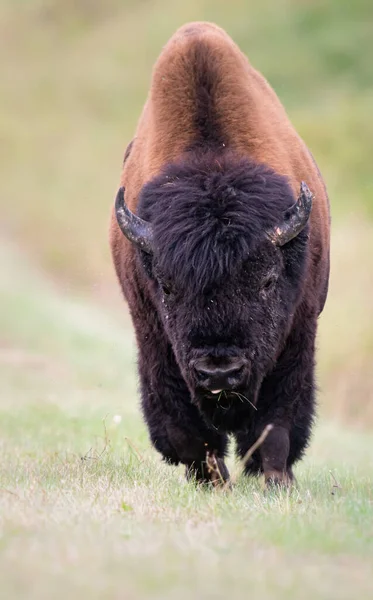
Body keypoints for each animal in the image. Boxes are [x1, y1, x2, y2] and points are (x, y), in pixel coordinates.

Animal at [109, 22, 328, 488]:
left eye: (267, 281)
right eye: (167, 286)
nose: (219, 372)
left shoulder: (299, 332)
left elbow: (276, 424)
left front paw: (275, 480)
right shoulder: (154, 338)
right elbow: (184, 427)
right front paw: (212, 479)